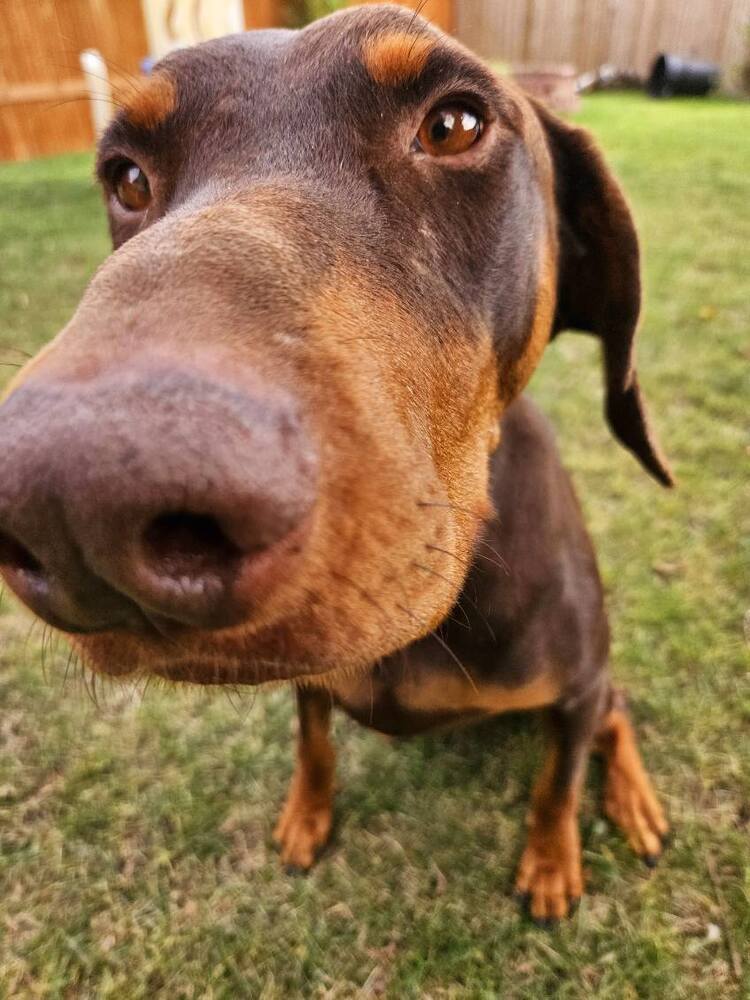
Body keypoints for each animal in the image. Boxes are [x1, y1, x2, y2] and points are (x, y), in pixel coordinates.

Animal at [0, 3, 668, 920]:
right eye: (126, 177)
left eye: (456, 125)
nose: (76, 509)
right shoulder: (310, 683)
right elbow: (313, 745)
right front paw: (306, 818)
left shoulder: (571, 690)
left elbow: (554, 786)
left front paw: (550, 862)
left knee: (617, 713)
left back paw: (634, 799)